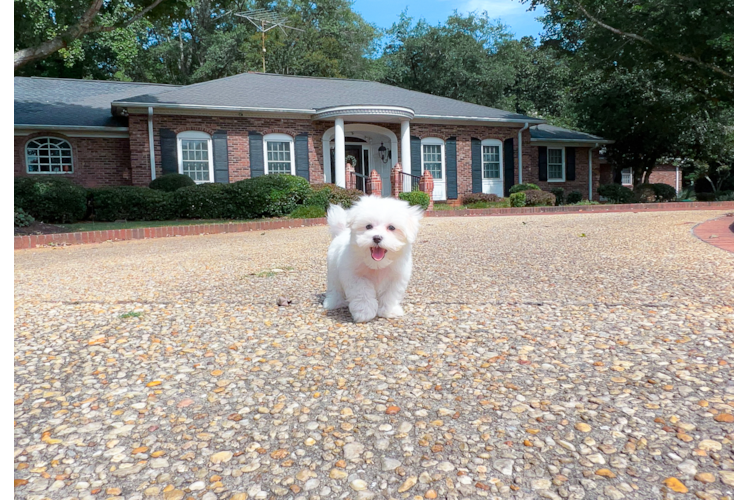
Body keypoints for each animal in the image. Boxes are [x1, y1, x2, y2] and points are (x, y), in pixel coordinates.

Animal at [322, 193, 424, 322]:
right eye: (368, 226)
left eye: (391, 227)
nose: (377, 238)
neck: (377, 264)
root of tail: (341, 233)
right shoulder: (355, 276)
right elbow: (362, 293)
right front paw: (364, 312)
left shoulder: (396, 277)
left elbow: (390, 294)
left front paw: (389, 311)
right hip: (333, 271)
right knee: (335, 288)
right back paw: (333, 302)